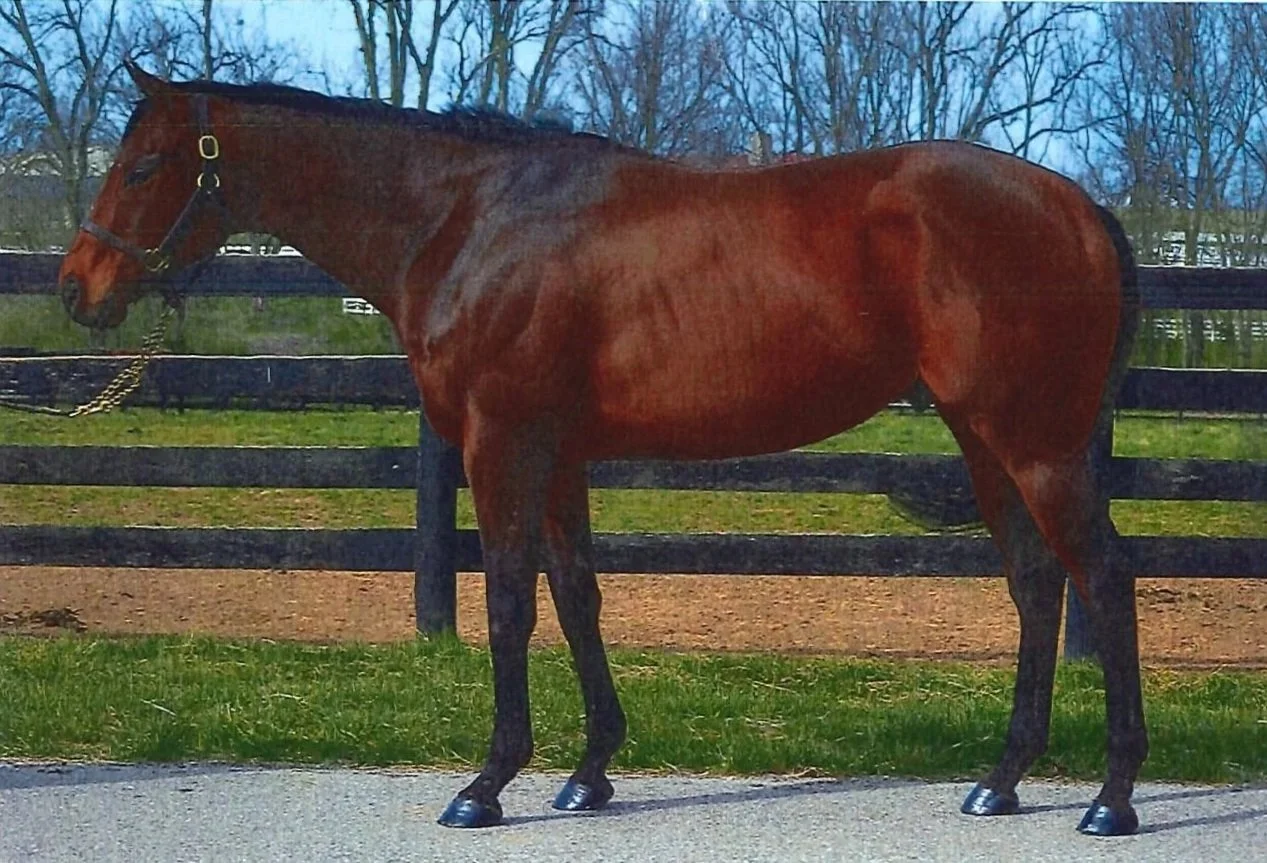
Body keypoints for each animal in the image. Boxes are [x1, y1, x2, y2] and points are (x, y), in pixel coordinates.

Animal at [60, 63, 1144, 835]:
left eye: (144, 167)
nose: (78, 288)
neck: (464, 222)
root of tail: (1075, 205)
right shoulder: (559, 453)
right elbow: (576, 594)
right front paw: (587, 773)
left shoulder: (501, 442)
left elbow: (507, 600)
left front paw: (487, 782)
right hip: (983, 436)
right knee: (1036, 580)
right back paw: (1001, 779)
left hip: (1032, 439)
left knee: (1100, 574)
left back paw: (1111, 796)